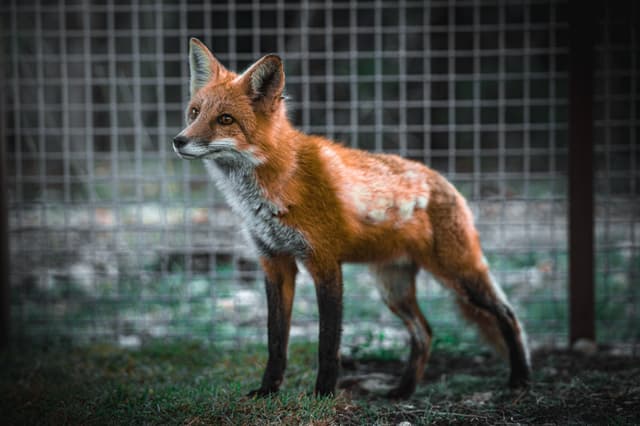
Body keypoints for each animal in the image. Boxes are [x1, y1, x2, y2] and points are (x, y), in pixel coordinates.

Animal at [173, 38, 531, 398]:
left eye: (225, 119)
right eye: (195, 112)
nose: (178, 140)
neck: (278, 182)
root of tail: (445, 182)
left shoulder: (325, 264)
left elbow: (328, 343)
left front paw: (323, 394)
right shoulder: (275, 263)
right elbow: (276, 341)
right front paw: (268, 391)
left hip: (458, 274)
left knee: (507, 314)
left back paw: (520, 379)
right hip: (393, 289)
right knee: (425, 333)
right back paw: (402, 392)